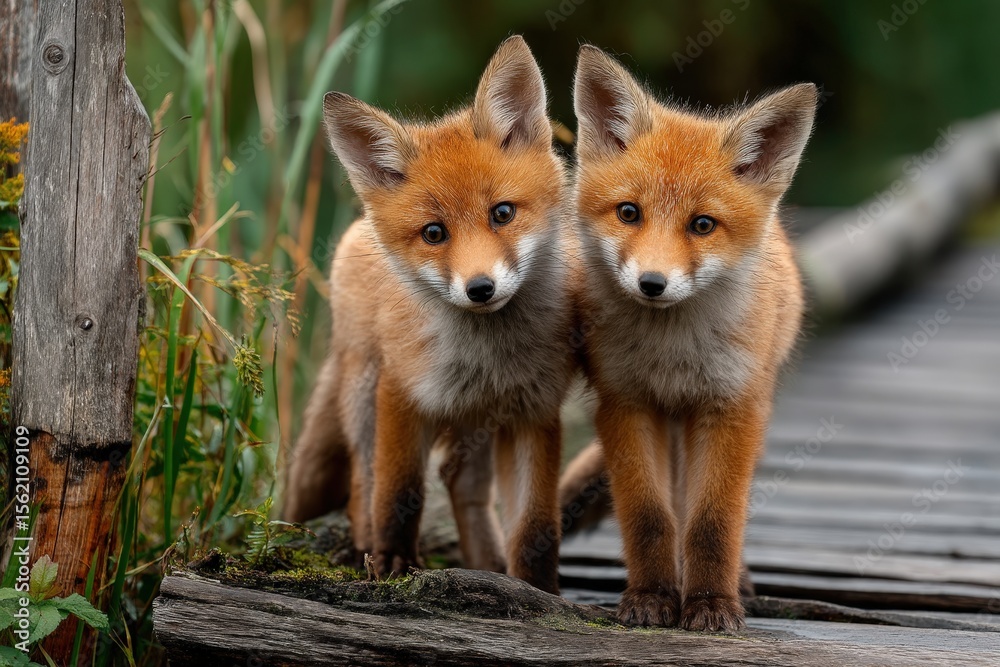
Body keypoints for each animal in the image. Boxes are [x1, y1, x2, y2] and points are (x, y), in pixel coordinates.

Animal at [283, 36, 574, 594]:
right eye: (434, 233)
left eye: (502, 213)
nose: (480, 289)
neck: (487, 355)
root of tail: (357, 229)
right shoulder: (403, 392)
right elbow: (399, 492)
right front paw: (394, 562)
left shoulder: (534, 412)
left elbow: (535, 526)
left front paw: (539, 590)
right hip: (364, 394)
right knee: (363, 480)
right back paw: (364, 547)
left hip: (477, 424)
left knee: (463, 485)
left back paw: (487, 562)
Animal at [562, 45, 816, 630]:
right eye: (629, 213)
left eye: (702, 225)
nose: (652, 283)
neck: (672, 354)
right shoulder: (626, 403)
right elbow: (650, 516)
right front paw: (652, 597)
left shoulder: (731, 407)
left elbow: (714, 521)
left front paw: (711, 604)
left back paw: (734, 581)